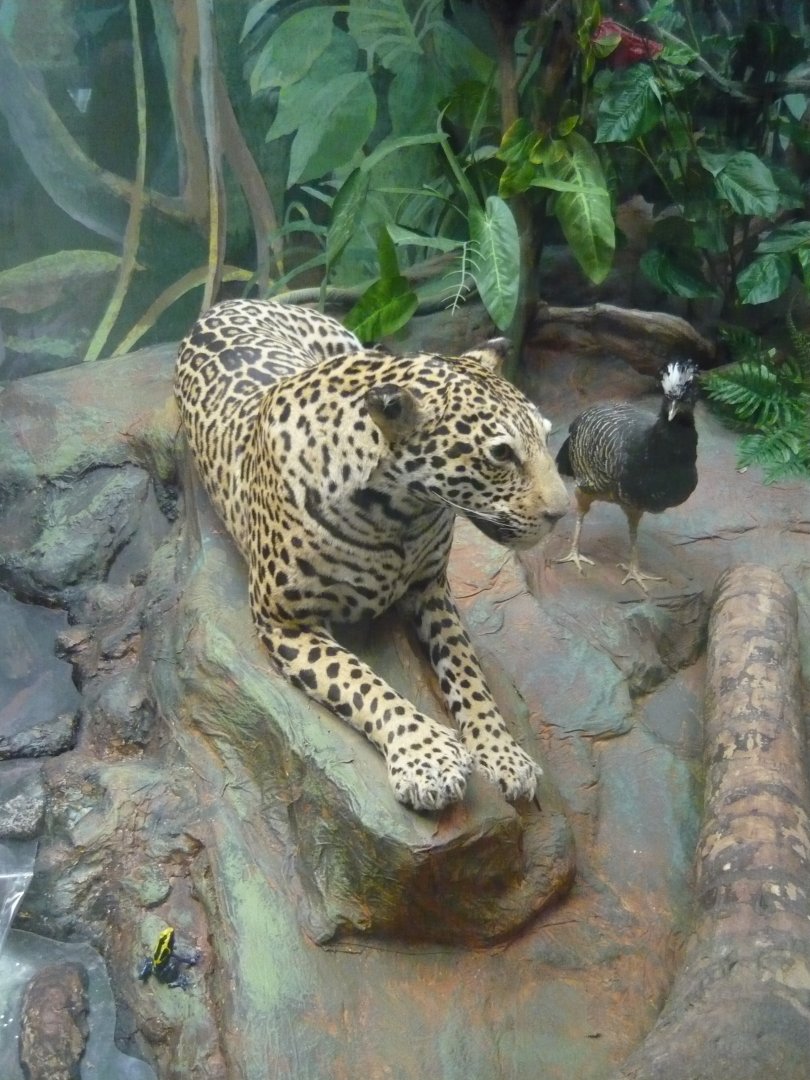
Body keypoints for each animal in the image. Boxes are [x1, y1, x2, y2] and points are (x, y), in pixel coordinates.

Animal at [175, 298, 569, 812]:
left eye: (545, 436)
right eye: (501, 454)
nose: (562, 512)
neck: (400, 513)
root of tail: (229, 300)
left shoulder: (431, 587)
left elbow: (468, 672)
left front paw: (503, 753)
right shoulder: (284, 618)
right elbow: (360, 681)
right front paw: (428, 758)